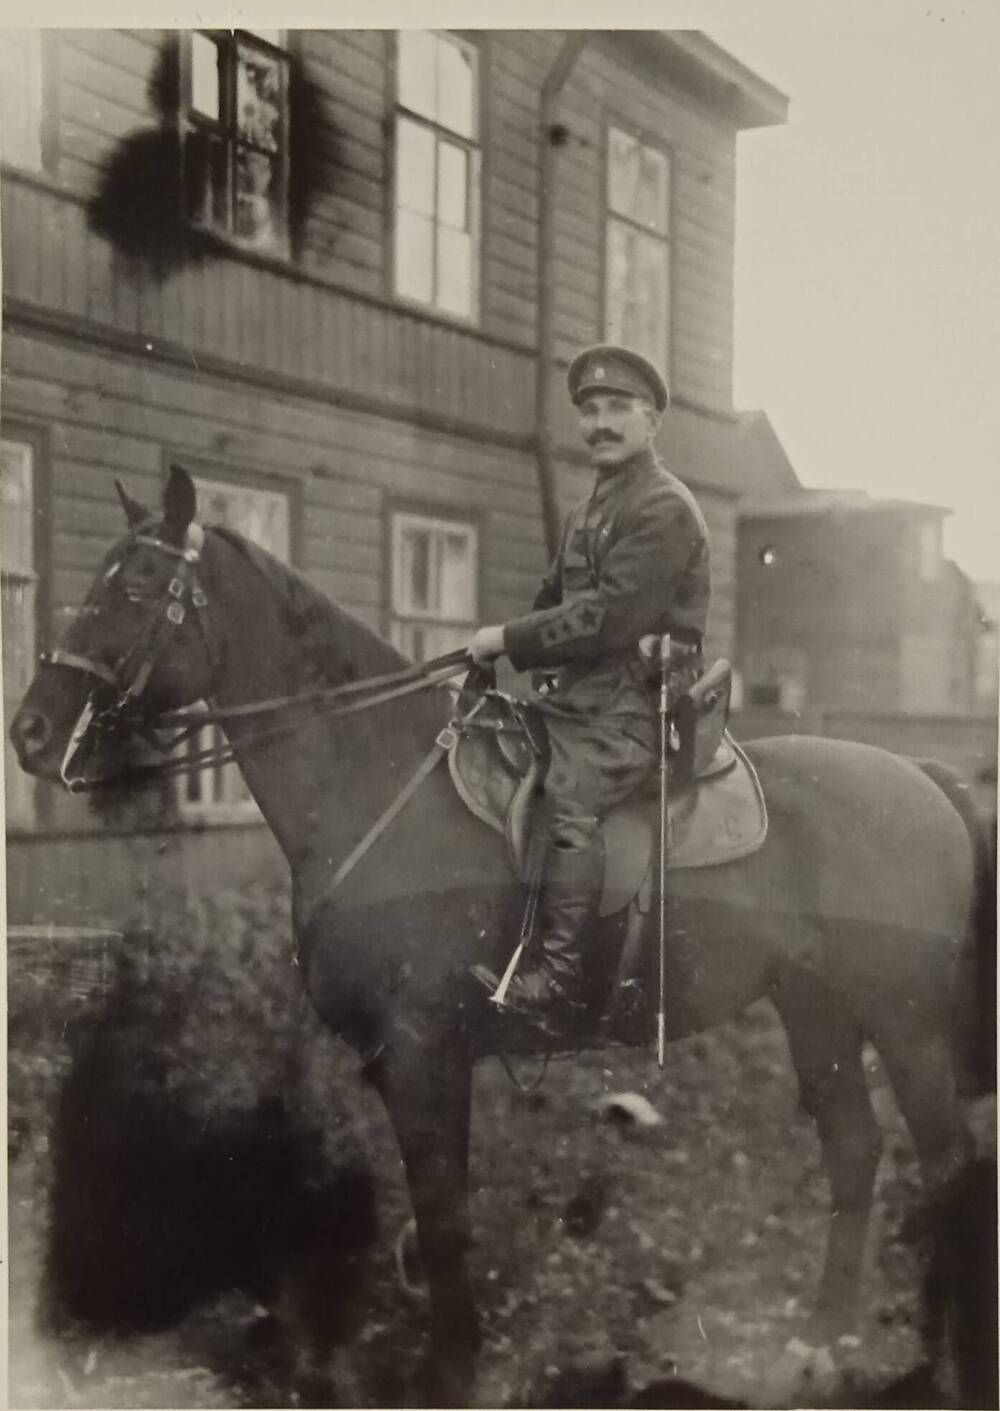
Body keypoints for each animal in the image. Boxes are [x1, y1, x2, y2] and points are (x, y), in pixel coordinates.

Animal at [9, 468, 992, 1405]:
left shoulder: (424, 1056)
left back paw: (938, 1360)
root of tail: (922, 777)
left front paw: (450, 1374)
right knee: (856, 1150)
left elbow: (445, 1219)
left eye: (137, 584)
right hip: (816, 1006)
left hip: (903, 1020)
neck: (376, 776)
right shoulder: (410, 1063)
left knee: (946, 1163)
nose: (30, 729)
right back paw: (820, 1342)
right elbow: (435, 1213)